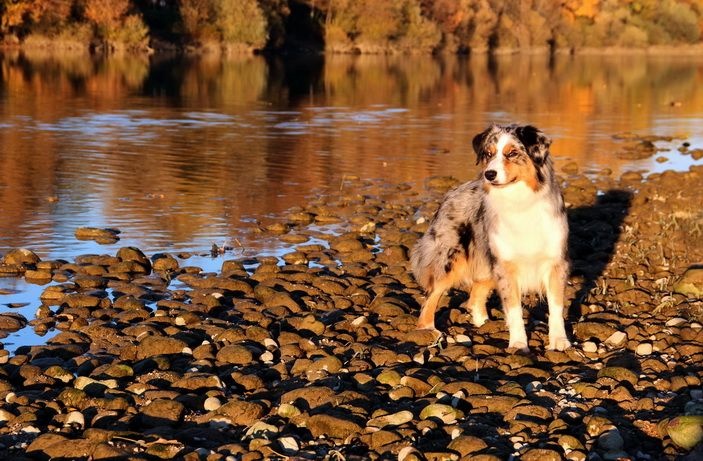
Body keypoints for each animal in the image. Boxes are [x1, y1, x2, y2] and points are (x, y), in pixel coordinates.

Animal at [412, 124, 572, 350]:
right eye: (488, 154)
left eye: (512, 153)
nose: (489, 174)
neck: (520, 202)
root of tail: (451, 192)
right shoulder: (506, 265)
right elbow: (514, 309)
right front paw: (518, 344)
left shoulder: (556, 263)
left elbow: (556, 307)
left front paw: (559, 340)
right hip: (450, 258)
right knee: (431, 296)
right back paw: (428, 330)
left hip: (486, 264)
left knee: (474, 298)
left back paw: (483, 324)